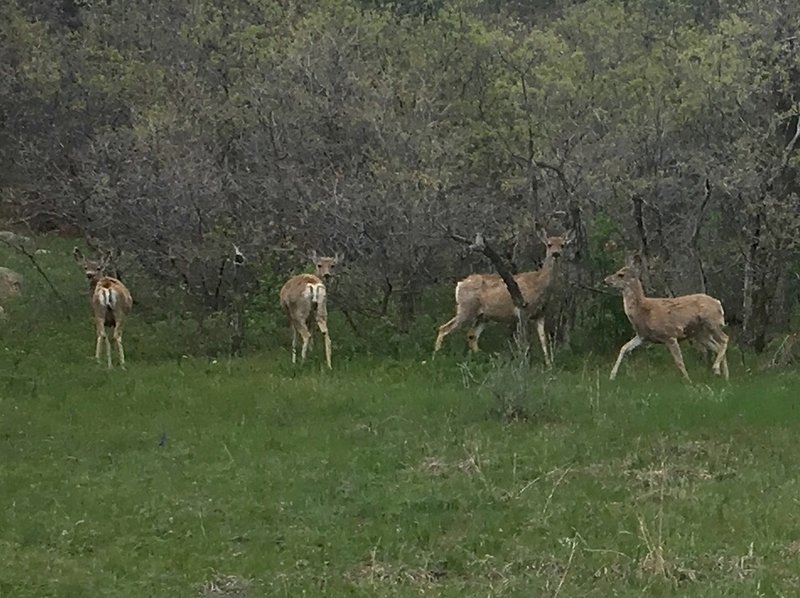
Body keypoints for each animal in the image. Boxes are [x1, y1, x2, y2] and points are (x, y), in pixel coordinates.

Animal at [434, 232, 572, 368]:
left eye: (563, 245)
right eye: (549, 244)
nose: (556, 254)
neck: (539, 283)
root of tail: (460, 284)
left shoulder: (540, 314)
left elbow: (544, 341)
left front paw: (549, 366)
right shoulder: (522, 310)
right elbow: (524, 341)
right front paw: (524, 362)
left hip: (483, 316)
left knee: (471, 335)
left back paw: (483, 358)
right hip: (466, 308)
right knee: (444, 328)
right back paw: (436, 356)